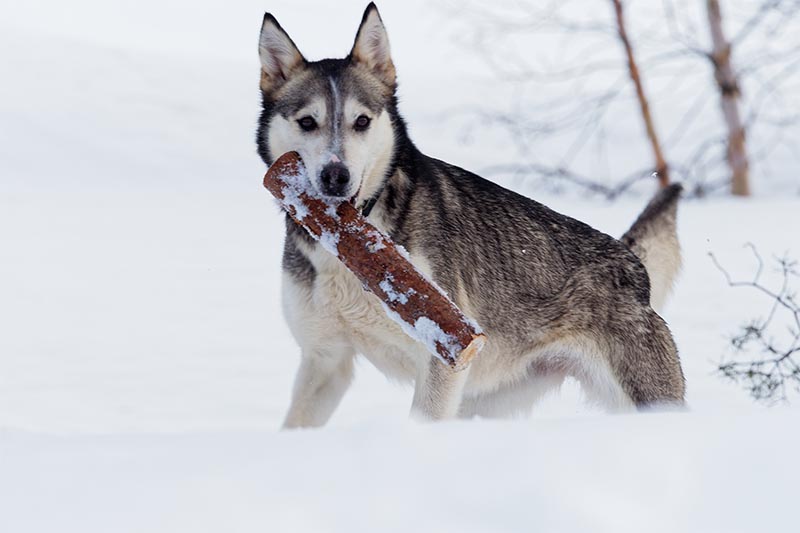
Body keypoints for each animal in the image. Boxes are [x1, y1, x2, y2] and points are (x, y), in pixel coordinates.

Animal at [258, 3, 688, 428]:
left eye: (361, 121)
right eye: (307, 122)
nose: (335, 176)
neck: (350, 237)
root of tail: (631, 262)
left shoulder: (443, 356)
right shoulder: (325, 359)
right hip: (483, 401)